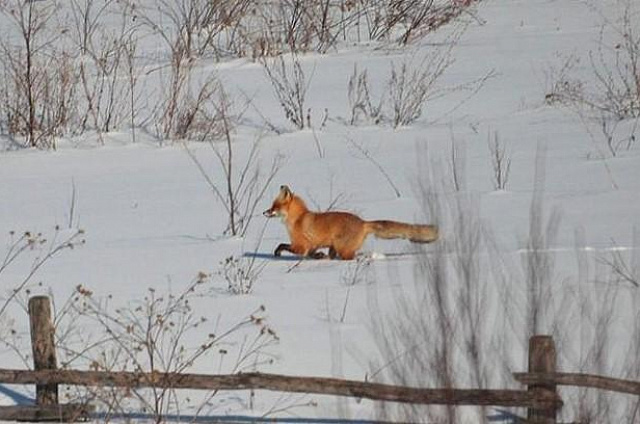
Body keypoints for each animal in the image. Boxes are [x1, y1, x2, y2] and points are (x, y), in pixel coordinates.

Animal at [262, 185, 438, 258]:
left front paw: (277, 253)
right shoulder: (312, 246)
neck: (298, 219)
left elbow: (281, 245)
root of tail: (363, 222)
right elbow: (313, 254)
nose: (264, 212)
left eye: (274, 207)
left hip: (342, 249)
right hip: (335, 247)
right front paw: (318, 256)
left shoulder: (300, 246)